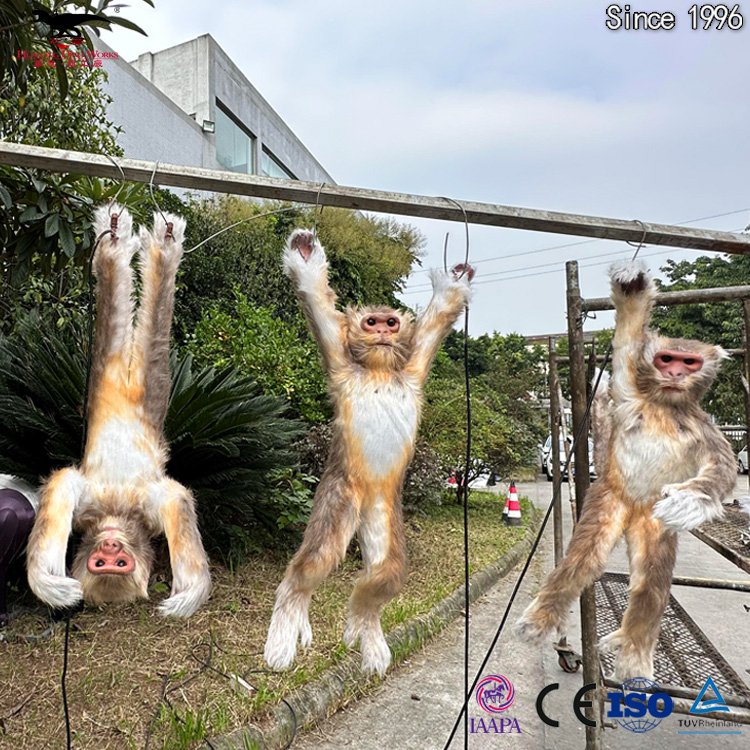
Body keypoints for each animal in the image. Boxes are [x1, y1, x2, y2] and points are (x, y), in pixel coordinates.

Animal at [26, 206, 211, 617]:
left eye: (119, 563)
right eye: (102, 563)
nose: (111, 546)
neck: (117, 510)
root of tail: (124, 374)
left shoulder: (154, 506)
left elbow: (178, 503)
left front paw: (187, 596)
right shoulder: (85, 507)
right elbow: (61, 484)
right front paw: (52, 586)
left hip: (149, 385)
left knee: (152, 319)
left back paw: (161, 244)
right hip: (106, 370)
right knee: (113, 300)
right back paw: (116, 240)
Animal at [264, 228, 474, 675]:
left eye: (390, 322)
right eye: (371, 321)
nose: (381, 331)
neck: (379, 369)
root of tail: (362, 508)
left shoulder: (412, 370)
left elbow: (440, 315)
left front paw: (455, 279)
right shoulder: (341, 365)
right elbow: (314, 295)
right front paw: (304, 254)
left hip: (384, 510)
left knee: (388, 572)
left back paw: (366, 628)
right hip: (337, 497)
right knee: (312, 564)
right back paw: (286, 629)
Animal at [516, 259, 736, 680]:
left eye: (689, 361)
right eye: (667, 358)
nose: (675, 374)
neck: (663, 406)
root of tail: (634, 510)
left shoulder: (703, 428)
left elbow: (723, 469)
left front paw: (689, 500)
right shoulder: (630, 391)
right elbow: (628, 338)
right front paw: (632, 283)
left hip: (653, 520)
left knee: (651, 583)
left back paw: (633, 653)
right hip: (608, 497)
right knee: (584, 559)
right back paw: (542, 617)